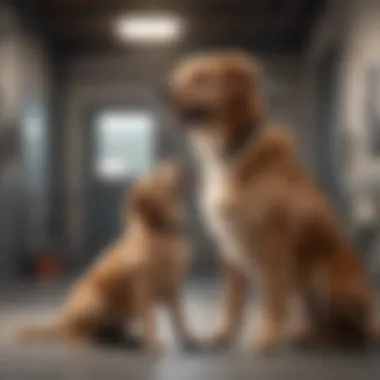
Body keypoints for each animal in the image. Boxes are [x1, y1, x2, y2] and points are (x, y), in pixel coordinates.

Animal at [15, 162, 193, 352]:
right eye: (157, 174)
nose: (179, 163)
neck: (160, 231)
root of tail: (60, 321)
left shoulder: (174, 288)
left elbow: (181, 319)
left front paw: (191, 340)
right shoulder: (143, 289)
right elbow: (150, 318)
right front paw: (154, 343)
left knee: (110, 332)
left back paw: (129, 339)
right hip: (94, 301)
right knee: (73, 334)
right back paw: (89, 341)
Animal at [168, 51, 376, 354]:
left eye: (201, 77)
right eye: (178, 77)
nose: (162, 91)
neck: (232, 149)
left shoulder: (274, 242)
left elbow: (271, 298)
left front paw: (265, 337)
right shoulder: (228, 245)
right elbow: (231, 301)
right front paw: (223, 335)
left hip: (324, 274)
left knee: (349, 331)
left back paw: (312, 337)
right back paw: (298, 331)